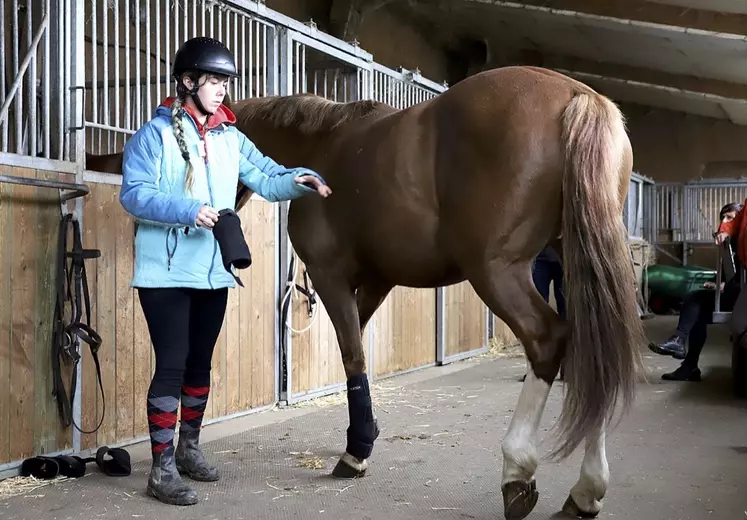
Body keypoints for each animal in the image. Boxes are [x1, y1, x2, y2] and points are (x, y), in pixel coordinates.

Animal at [87, 66, 644, 520]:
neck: (321, 146)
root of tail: (578, 98)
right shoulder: (376, 279)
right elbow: (358, 350)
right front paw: (366, 435)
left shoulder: (331, 275)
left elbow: (352, 354)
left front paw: (355, 452)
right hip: (575, 265)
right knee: (593, 356)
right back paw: (585, 492)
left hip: (498, 271)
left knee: (550, 341)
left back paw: (518, 473)